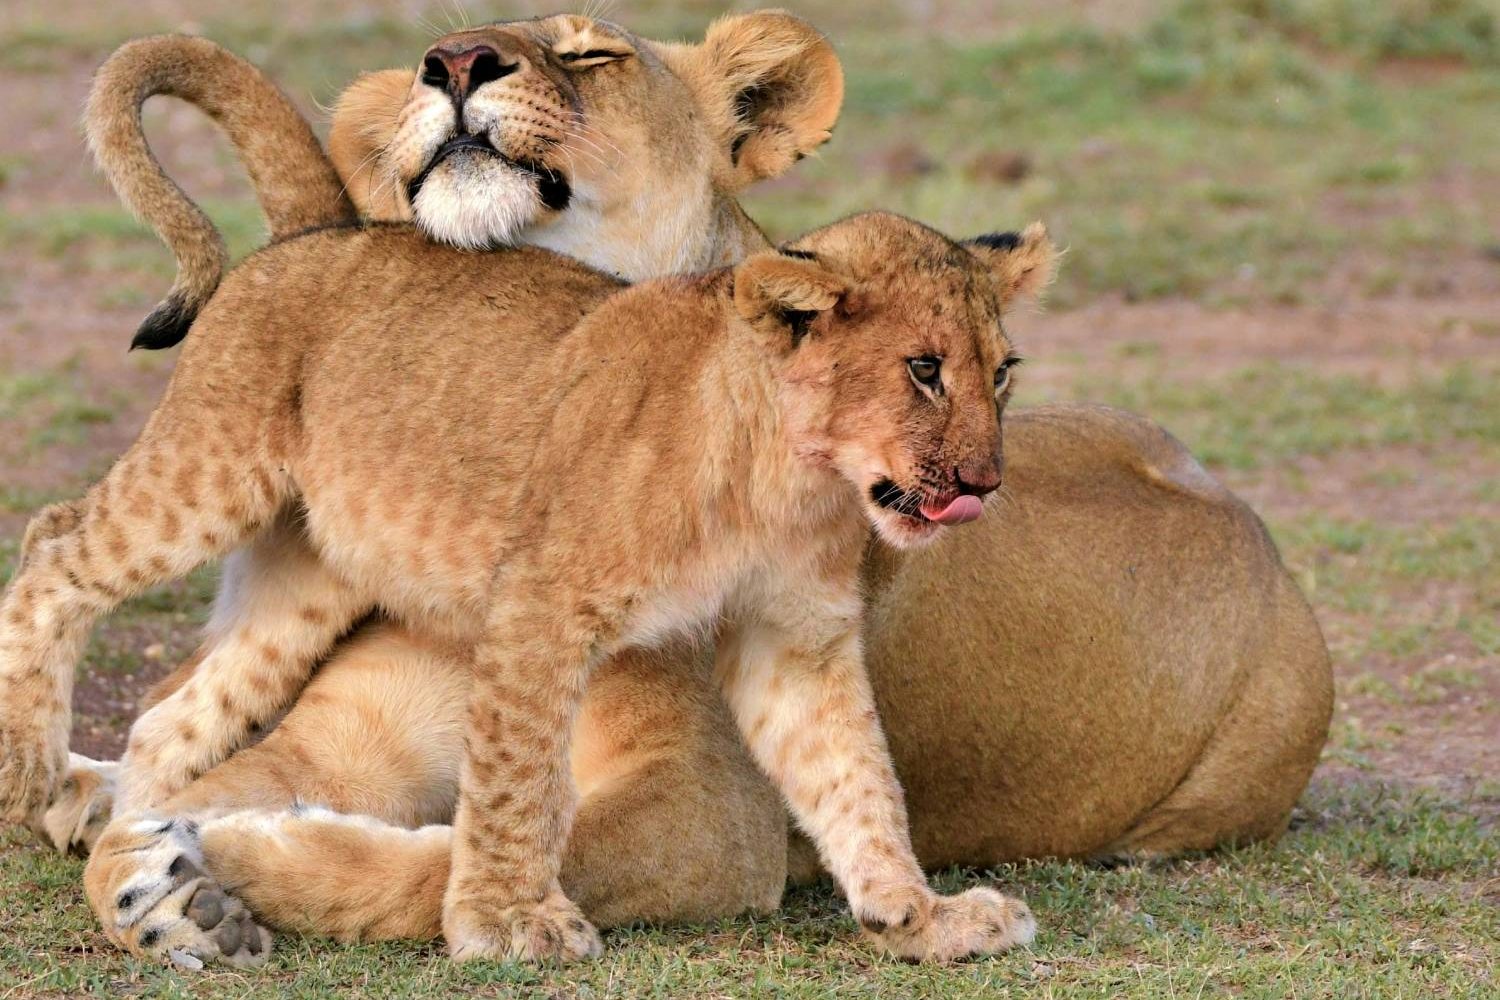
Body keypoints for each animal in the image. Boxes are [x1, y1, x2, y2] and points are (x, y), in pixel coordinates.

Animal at [5, 208, 1059, 965]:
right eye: (923, 369)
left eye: (1002, 373)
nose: (985, 483)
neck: (791, 481)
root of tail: (291, 245)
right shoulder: (541, 601)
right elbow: (520, 785)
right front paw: (508, 921)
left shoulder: (793, 638)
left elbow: (856, 780)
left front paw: (919, 915)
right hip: (207, 473)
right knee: (51, 548)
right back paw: (31, 775)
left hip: (303, 581)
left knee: (171, 718)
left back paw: (142, 847)